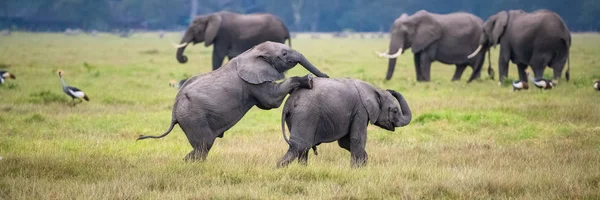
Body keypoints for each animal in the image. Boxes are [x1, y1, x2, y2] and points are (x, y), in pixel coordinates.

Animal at [137, 41, 328, 161]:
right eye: (284, 53)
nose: (325, 76)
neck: (252, 52)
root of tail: (174, 113)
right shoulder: (251, 82)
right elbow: (270, 102)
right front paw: (308, 80)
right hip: (193, 116)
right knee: (204, 145)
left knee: (201, 147)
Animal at [278, 77, 412, 168]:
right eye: (395, 111)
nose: (391, 90)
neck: (374, 89)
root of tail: (287, 104)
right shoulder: (361, 110)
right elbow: (357, 139)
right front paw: (357, 169)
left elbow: (345, 142)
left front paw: (362, 163)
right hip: (305, 114)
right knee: (299, 146)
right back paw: (280, 168)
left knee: (303, 148)